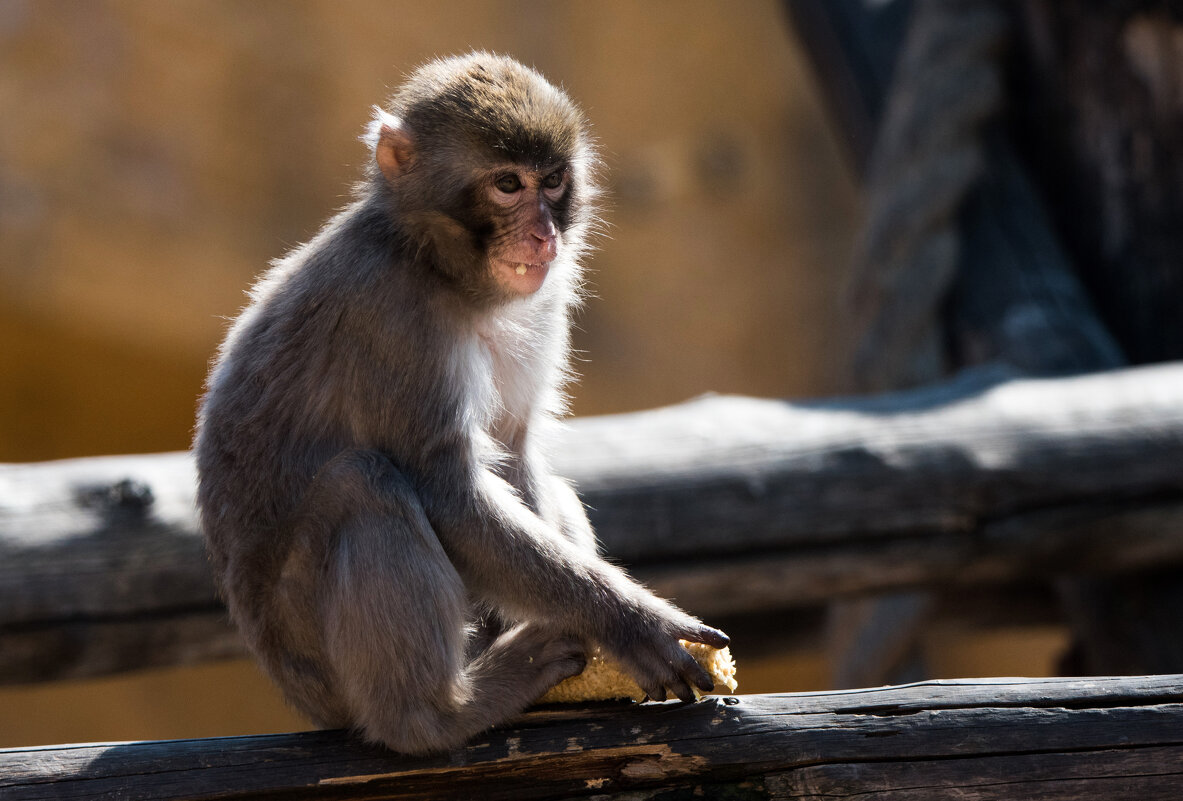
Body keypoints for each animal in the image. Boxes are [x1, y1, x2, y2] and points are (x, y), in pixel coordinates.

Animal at [192, 53, 723, 752]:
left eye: (553, 181)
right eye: (507, 184)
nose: (544, 234)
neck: (444, 270)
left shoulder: (543, 303)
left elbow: (515, 451)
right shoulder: (391, 312)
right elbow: (447, 490)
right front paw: (633, 624)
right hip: (317, 666)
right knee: (361, 484)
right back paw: (436, 714)